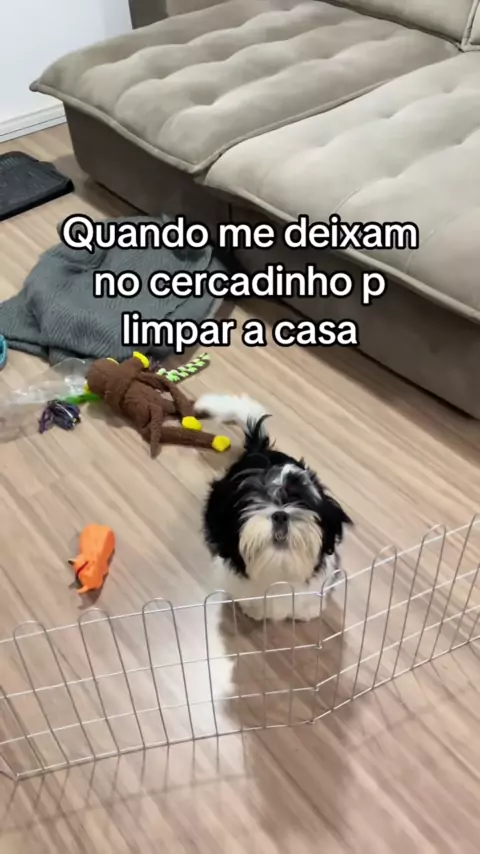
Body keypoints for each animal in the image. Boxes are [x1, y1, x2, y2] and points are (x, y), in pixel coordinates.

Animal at [195, 394, 352, 621]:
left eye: (300, 500)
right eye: (252, 502)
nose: (280, 515)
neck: (279, 573)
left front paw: (309, 611)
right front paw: (254, 611)